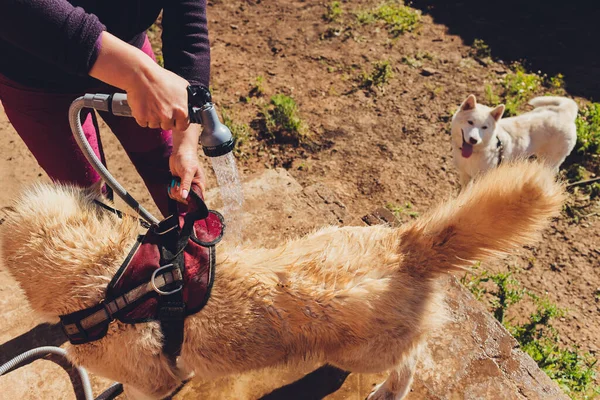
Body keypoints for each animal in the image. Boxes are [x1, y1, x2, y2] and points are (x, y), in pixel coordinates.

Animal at [0, 161, 564, 398]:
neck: (103, 274)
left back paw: (387, 392)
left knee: (411, 363)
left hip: (367, 354)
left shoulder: (153, 384)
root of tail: (405, 244)